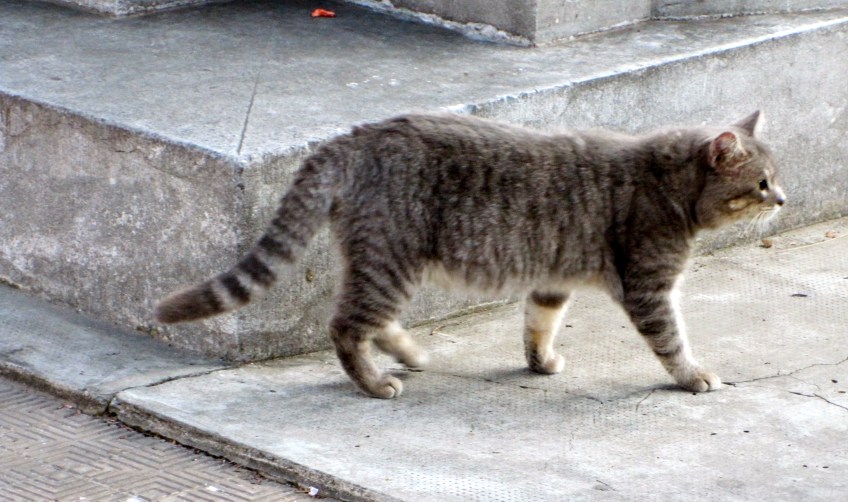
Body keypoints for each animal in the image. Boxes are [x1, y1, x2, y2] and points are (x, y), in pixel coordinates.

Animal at [155, 111, 785, 399]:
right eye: (761, 183)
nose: (782, 198)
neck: (667, 183)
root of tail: (358, 134)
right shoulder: (649, 288)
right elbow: (672, 341)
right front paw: (693, 375)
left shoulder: (551, 278)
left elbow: (538, 324)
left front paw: (540, 361)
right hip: (391, 262)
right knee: (345, 326)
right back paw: (374, 382)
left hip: (382, 263)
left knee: (370, 320)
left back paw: (408, 352)